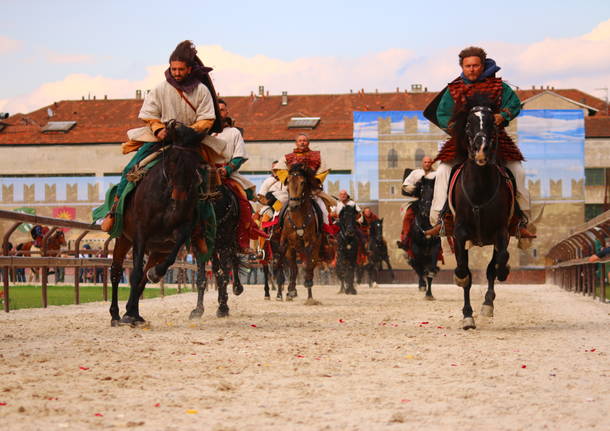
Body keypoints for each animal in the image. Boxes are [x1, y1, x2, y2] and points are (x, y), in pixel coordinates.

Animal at [110, 121, 210, 328]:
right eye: (172, 160)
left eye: (194, 163)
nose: (179, 198)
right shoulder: (141, 233)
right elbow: (135, 273)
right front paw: (127, 315)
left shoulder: (179, 233)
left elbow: (168, 259)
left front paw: (155, 274)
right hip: (123, 238)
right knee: (116, 272)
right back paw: (116, 315)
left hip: (157, 250)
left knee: (143, 279)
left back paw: (134, 312)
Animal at [276, 165, 320, 304]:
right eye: (288, 181)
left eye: (302, 182)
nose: (293, 205)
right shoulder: (287, 242)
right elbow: (285, 265)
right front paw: (282, 293)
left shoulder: (309, 243)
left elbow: (308, 265)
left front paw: (310, 295)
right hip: (290, 248)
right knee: (292, 267)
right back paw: (288, 291)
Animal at [448, 95, 510, 330]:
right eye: (468, 124)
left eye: (492, 123)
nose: (481, 148)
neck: (480, 190)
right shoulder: (460, 233)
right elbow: (463, 271)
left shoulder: (502, 231)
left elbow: (499, 262)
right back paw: (468, 316)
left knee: (493, 267)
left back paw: (487, 305)